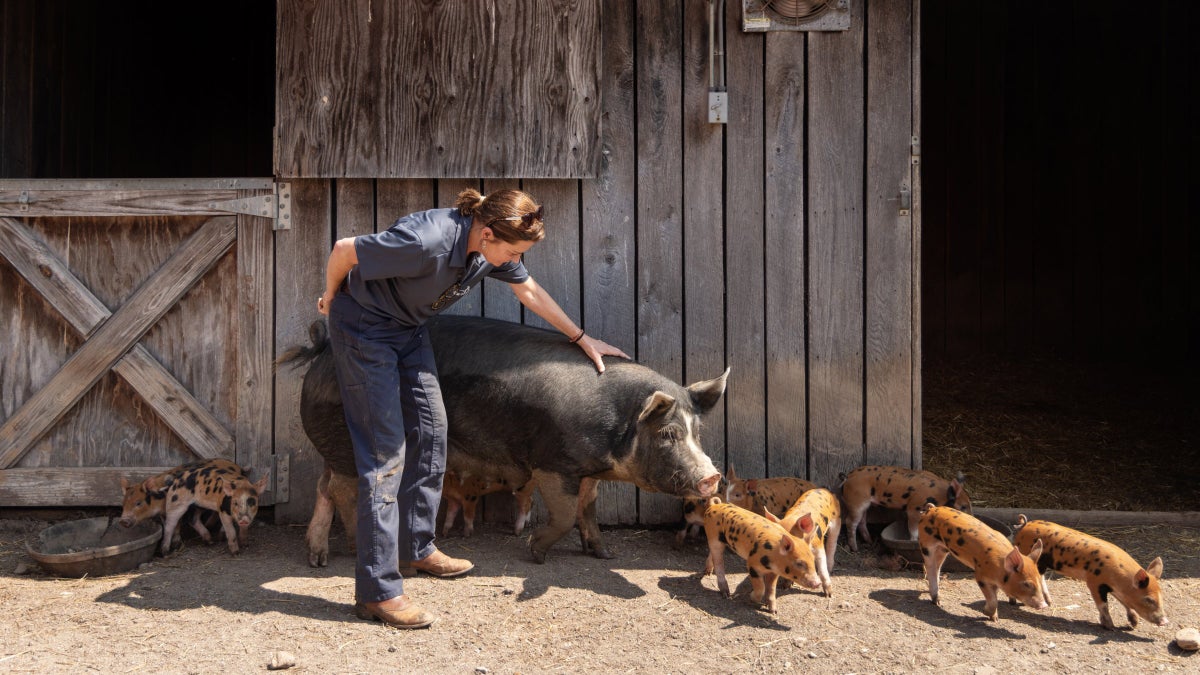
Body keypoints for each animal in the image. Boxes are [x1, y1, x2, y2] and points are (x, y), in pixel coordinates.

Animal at [285, 314, 724, 562]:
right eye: (667, 433)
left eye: (697, 431)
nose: (712, 477)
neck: (616, 422)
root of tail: (323, 352)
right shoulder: (553, 462)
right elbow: (565, 514)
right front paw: (535, 553)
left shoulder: (588, 469)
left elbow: (588, 510)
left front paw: (602, 554)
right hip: (346, 437)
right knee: (342, 489)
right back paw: (350, 551)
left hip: (336, 445)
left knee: (324, 486)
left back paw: (317, 556)